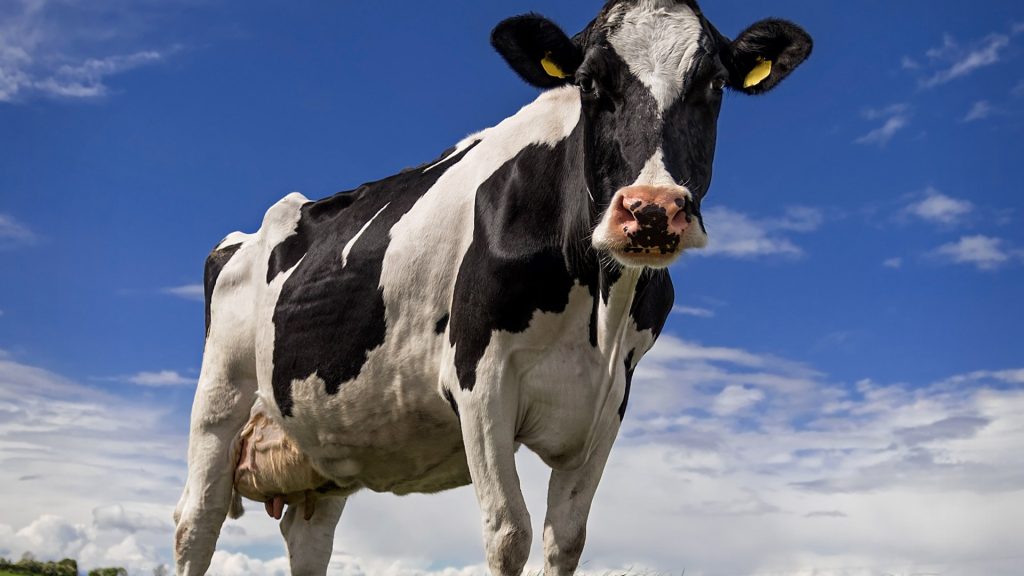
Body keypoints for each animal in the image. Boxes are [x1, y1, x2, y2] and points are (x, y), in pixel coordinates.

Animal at [173, 1, 812, 574]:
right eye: (588, 83)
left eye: (715, 85)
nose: (651, 211)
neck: (599, 307)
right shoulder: (480, 379)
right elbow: (509, 533)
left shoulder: (609, 400)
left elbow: (565, 540)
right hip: (220, 399)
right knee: (195, 524)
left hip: (325, 447)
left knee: (308, 540)